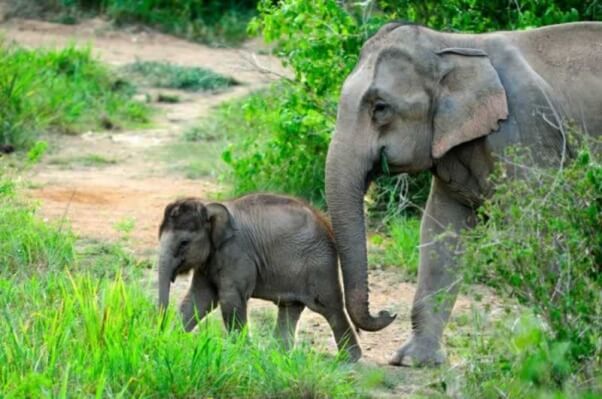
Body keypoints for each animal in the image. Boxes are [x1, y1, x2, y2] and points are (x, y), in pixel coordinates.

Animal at [157, 194, 358, 362]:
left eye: (184, 243)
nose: (159, 330)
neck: (209, 205)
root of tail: (325, 223)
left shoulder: (237, 253)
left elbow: (230, 300)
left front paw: (242, 353)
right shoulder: (209, 261)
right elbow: (199, 299)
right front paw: (172, 339)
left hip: (320, 265)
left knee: (330, 307)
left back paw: (349, 360)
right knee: (290, 307)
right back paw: (278, 354)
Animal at [324, 20, 600, 368]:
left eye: (381, 108)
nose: (386, 312)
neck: (453, 44)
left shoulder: (526, 130)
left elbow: (543, 224)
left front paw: (568, 347)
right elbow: (441, 231)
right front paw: (414, 361)